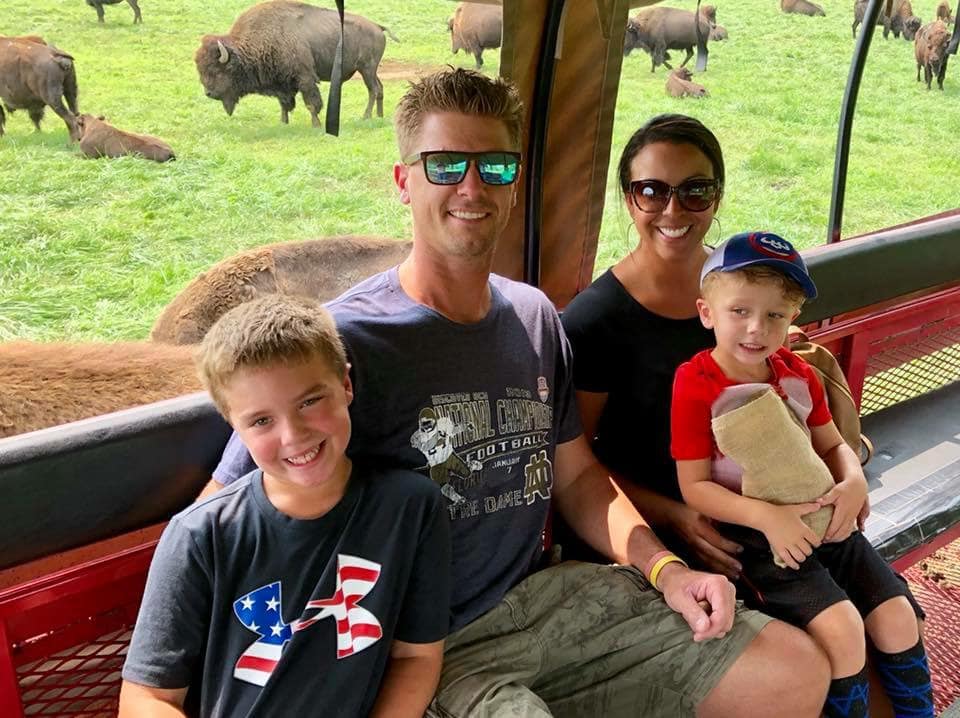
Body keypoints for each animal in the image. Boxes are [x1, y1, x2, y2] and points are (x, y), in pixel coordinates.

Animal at [196, 0, 398, 126]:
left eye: (217, 71)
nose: (208, 93)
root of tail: (377, 27)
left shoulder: (305, 78)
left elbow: (311, 103)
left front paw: (316, 125)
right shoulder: (281, 82)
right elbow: (284, 104)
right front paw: (283, 123)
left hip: (366, 69)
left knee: (373, 90)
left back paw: (366, 117)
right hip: (371, 70)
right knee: (379, 88)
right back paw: (379, 116)